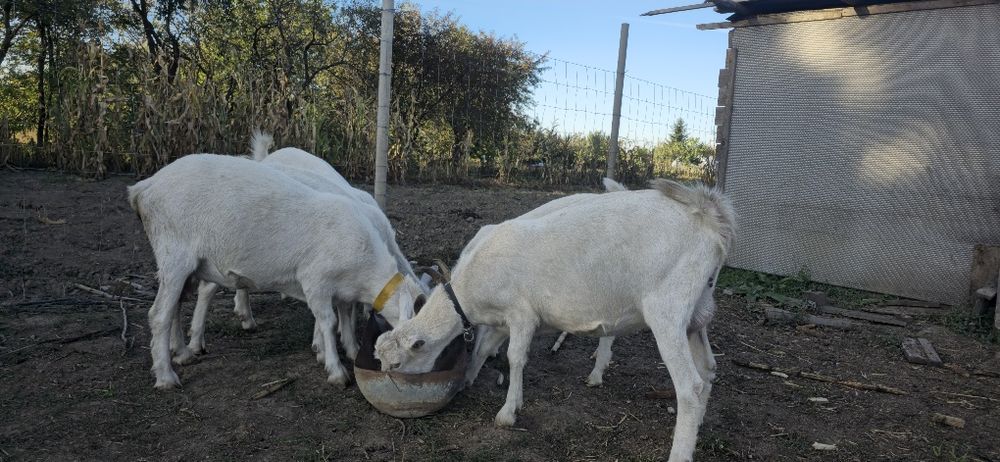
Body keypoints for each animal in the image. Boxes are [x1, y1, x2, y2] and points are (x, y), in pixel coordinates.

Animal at [128, 153, 426, 389]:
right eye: (417, 343)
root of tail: (143, 188)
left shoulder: (342, 288)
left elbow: (344, 313)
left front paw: (350, 350)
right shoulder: (315, 280)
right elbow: (328, 321)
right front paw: (335, 369)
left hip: (189, 264)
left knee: (176, 306)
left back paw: (182, 353)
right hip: (173, 253)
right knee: (159, 314)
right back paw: (166, 375)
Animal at [374, 179, 735, 462]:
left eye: (397, 365)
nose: (389, 386)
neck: (468, 290)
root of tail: (708, 217)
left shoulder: (521, 313)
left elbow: (515, 358)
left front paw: (507, 413)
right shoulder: (501, 320)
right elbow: (483, 348)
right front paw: (469, 380)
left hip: (667, 307)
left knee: (690, 386)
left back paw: (679, 451)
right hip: (697, 311)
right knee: (708, 370)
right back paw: (697, 428)